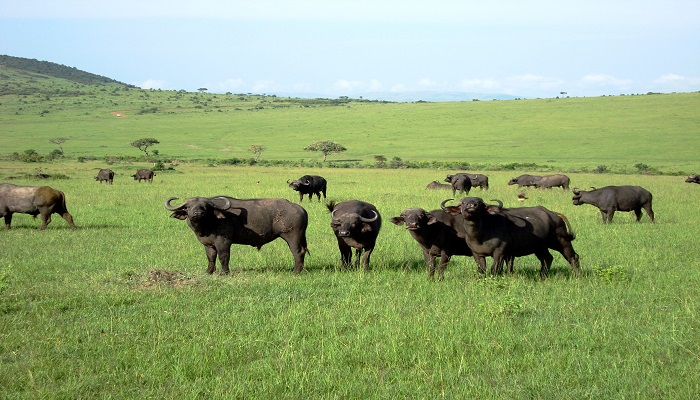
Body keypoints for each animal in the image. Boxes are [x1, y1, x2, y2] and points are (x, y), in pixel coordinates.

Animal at [165, 196, 308, 276]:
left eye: (205, 207)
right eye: (188, 207)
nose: (197, 213)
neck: (208, 224)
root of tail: (300, 208)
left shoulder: (223, 242)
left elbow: (223, 257)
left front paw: (224, 273)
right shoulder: (208, 244)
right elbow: (211, 258)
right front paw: (209, 272)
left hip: (292, 237)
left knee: (298, 252)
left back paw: (296, 271)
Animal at [442, 196, 580, 276]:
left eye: (480, 203)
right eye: (463, 203)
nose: (471, 206)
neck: (480, 235)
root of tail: (554, 214)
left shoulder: (499, 252)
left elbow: (494, 269)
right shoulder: (477, 254)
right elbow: (482, 269)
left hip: (561, 241)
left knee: (572, 257)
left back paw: (577, 275)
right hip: (540, 247)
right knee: (547, 258)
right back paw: (542, 275)